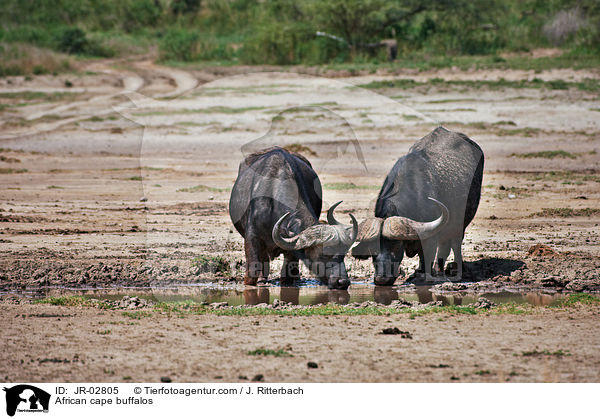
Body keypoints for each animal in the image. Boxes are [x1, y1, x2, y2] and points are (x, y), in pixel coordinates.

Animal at [227, 147, 354, 288]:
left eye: (343, 254)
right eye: (323, 255)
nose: (342, 282)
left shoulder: (291, 250)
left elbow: (287, 275)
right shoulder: (252, 237)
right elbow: (253, 270)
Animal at [352, 128, 482, 286]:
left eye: (396, 245)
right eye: (373, 248)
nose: (382, 279)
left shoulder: (430, 238)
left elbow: (427, 256)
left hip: (461, 222)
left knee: (455, 243)